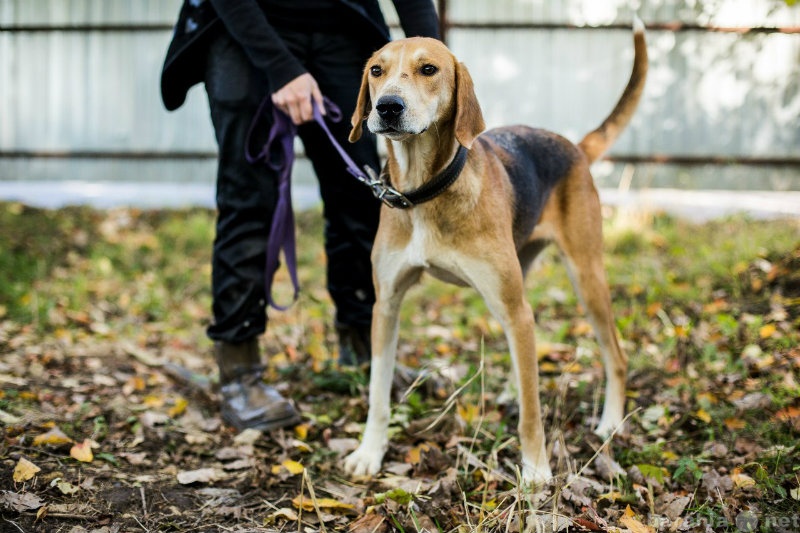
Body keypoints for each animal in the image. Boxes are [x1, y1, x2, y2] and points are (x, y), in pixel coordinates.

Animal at [340, 17, 648, 482]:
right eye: (376, 71)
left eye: (428, 69)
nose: (388, 107)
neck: (425, 193)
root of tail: (574, 147)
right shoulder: (386, 305)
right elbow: (378, 393)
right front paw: (369, 452)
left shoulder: (519, 308)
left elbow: (532, 412)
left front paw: (536, 470)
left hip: (585, 278)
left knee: (616, 355)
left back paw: (611, 422)